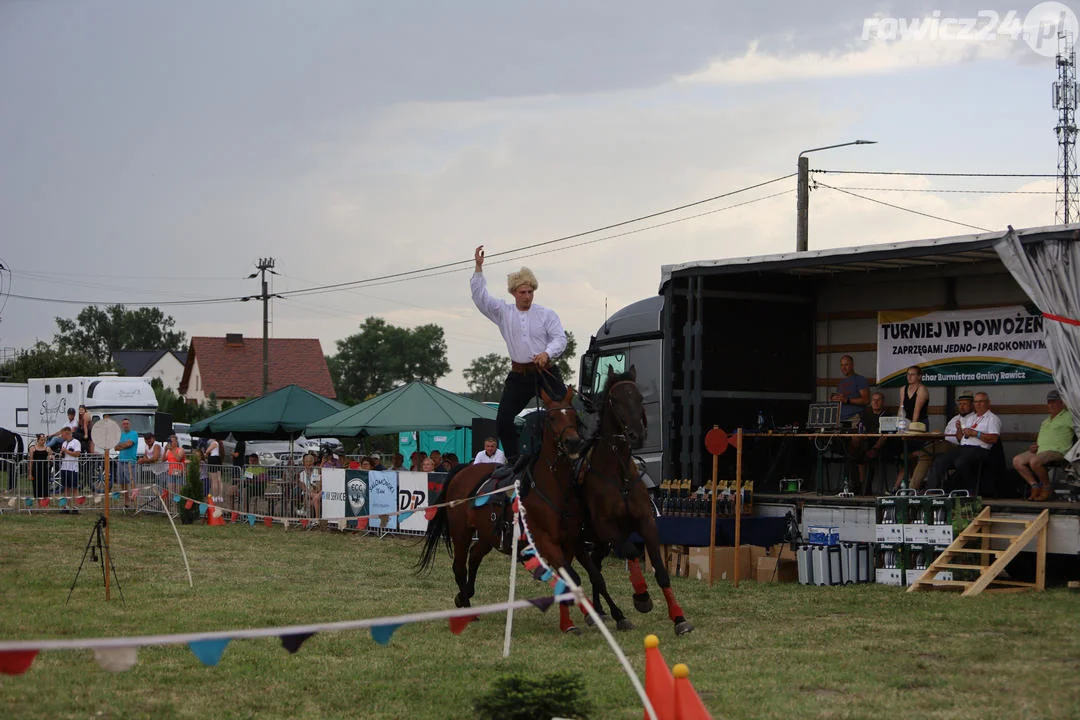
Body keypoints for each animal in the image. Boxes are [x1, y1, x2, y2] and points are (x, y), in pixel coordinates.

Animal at [416, 386, 587, 634]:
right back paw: (465, 605)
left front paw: (569, 624)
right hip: (461, 531)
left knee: (474, 557)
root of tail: (464, 469)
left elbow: (570, 579)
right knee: (459, 565)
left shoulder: (569, 543)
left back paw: (466, 598)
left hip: (488, 534)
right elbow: (570, 578)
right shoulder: (545, 542)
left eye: (574, 416)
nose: (573, 442)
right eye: (552, 418)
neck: (552, 488)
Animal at [578, 369, 695, 634]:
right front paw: (642, 596)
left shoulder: (645, 523)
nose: (636, 435)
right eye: (614, 400)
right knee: (588, 571)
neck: (619, 475)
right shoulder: (608, 527)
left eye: (640, 397)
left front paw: (679, 618)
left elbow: (661, 571)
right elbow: (630, 550)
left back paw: (600, 610)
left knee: (596, 567)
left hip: (599, 542)